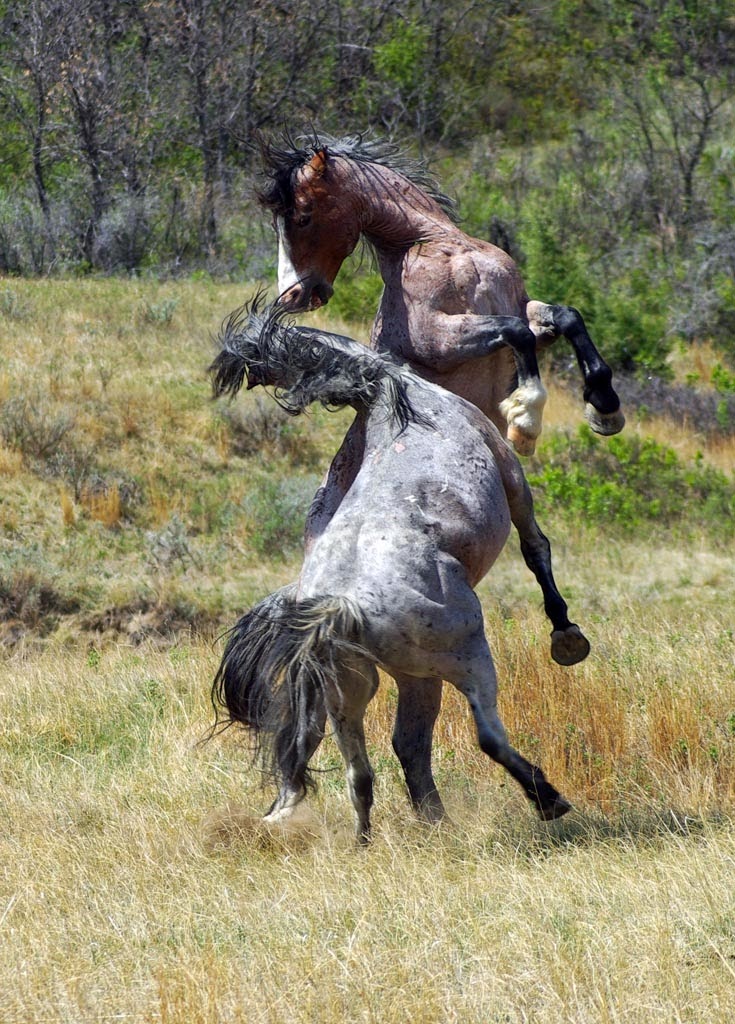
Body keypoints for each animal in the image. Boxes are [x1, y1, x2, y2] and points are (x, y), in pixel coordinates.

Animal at [209, 299, 576, 840]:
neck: (395, 398)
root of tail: (343, 610)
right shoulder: (511, 475)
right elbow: (537, 550)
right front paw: (566, 633)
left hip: (353, 691)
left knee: (360, 769)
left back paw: (368, 837)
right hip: (463, 657)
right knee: (485, 735)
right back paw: (547, 799)